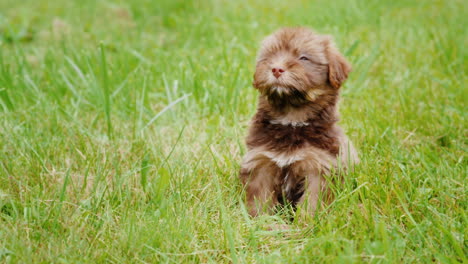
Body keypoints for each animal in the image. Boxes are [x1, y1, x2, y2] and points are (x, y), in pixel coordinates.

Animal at [239, 27, 356, 217]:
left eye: (304, 58)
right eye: (269, 57)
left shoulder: (319, 165)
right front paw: (260, 220)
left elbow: (313, 200)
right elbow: (261, 196)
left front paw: (307, 222)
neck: (291, 119)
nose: (276, 68)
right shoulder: (261, 159)